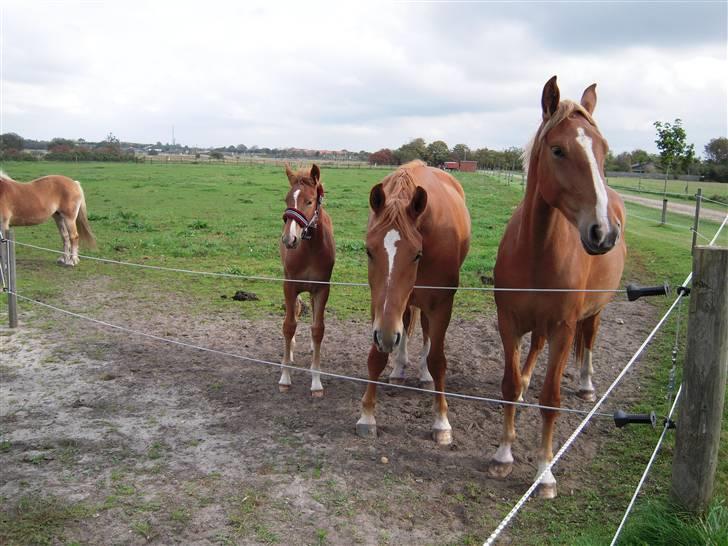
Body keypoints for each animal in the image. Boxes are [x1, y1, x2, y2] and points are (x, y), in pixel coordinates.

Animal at [356, 159, 472, 444]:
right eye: (368, 251)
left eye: (417, 254)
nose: (387, 335)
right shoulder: (379, 305)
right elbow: (376, 356)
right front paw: (367, 416)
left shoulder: (441, 304)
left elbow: (438, 360)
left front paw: (441, 422)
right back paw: (399, 369)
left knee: (426, 334)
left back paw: (423, 373)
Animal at [492, 76, 628, 498]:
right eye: (558, 150)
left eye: (603, 149)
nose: (604, 232)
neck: (537, 249)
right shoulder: (509, 320)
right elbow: (507, 385)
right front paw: (503, 454)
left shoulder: (565, 327)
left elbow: (550, 399)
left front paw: (544, 472)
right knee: (534, 349)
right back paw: (527, 380)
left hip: (593, 311)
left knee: (590, 339)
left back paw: (584, 385)